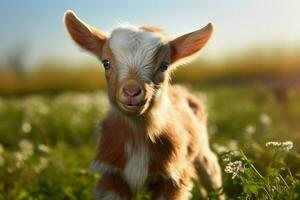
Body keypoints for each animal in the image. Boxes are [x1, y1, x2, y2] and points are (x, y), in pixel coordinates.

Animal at [63, 10, 223, 199]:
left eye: (164, 66)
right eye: (106, 63)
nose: (131, 91)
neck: (138, 134)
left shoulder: (173, 177)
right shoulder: (111, 175)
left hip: (202, 150)